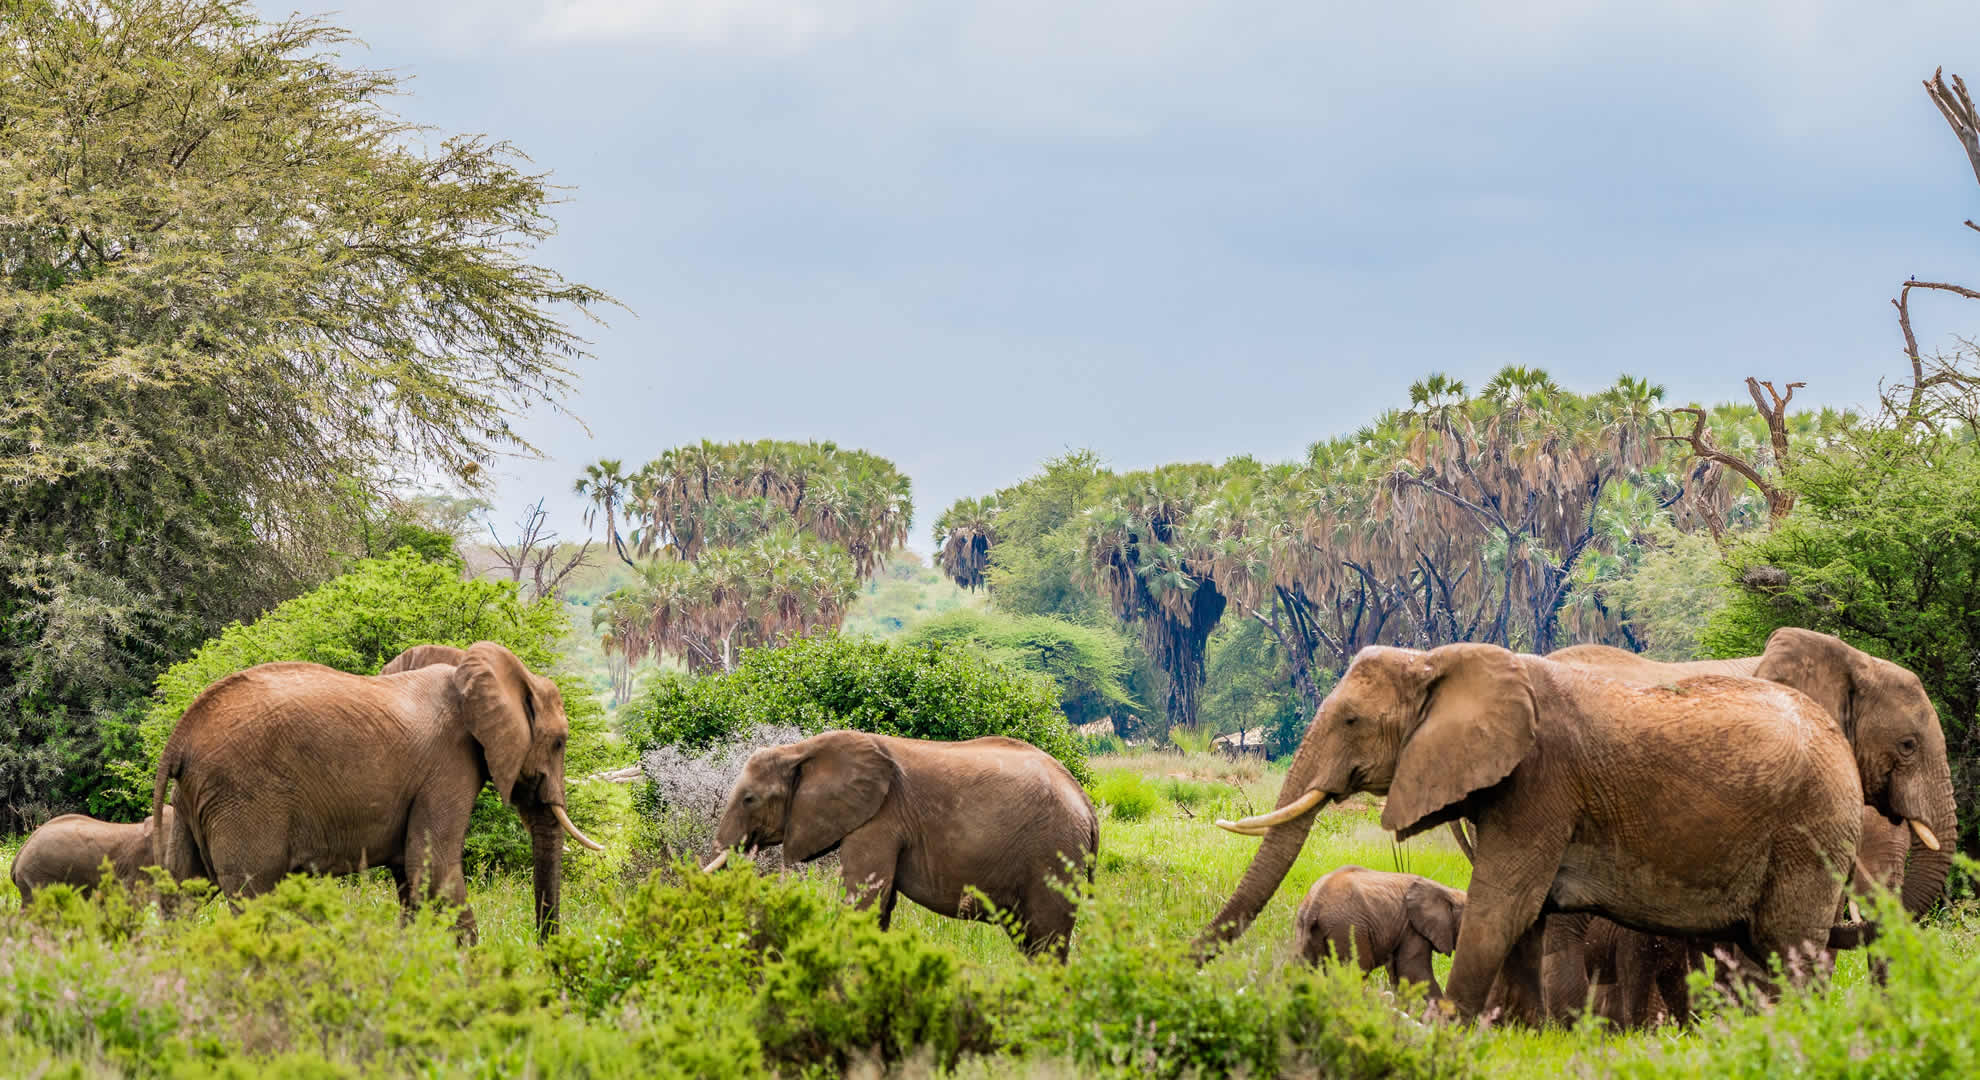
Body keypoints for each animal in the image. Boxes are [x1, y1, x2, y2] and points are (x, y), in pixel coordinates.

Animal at [146, 642, 597, 935]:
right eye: (560, 742)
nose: (544, 953)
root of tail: (180, 736)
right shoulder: (448, 767)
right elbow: (434, 871)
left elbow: (411, 880)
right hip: (243, 797)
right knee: (254, 896)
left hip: (194, 801)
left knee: (183, 894)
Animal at [704, 729, 1100, 955]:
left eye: (749, 799)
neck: (800, 749)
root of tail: (1088, 806)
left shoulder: (880, 819)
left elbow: (864, 902)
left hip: (1054, 852)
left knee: (1046, 939)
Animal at [1290, 864, 1465, 998]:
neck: (1448, 891)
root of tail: (1315, 903)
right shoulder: (1413, 927)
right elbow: (1413, 971)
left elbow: (1398, 973)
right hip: (1348, 928)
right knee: (1356, 973)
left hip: (1304, 929)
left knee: (1305, 970)